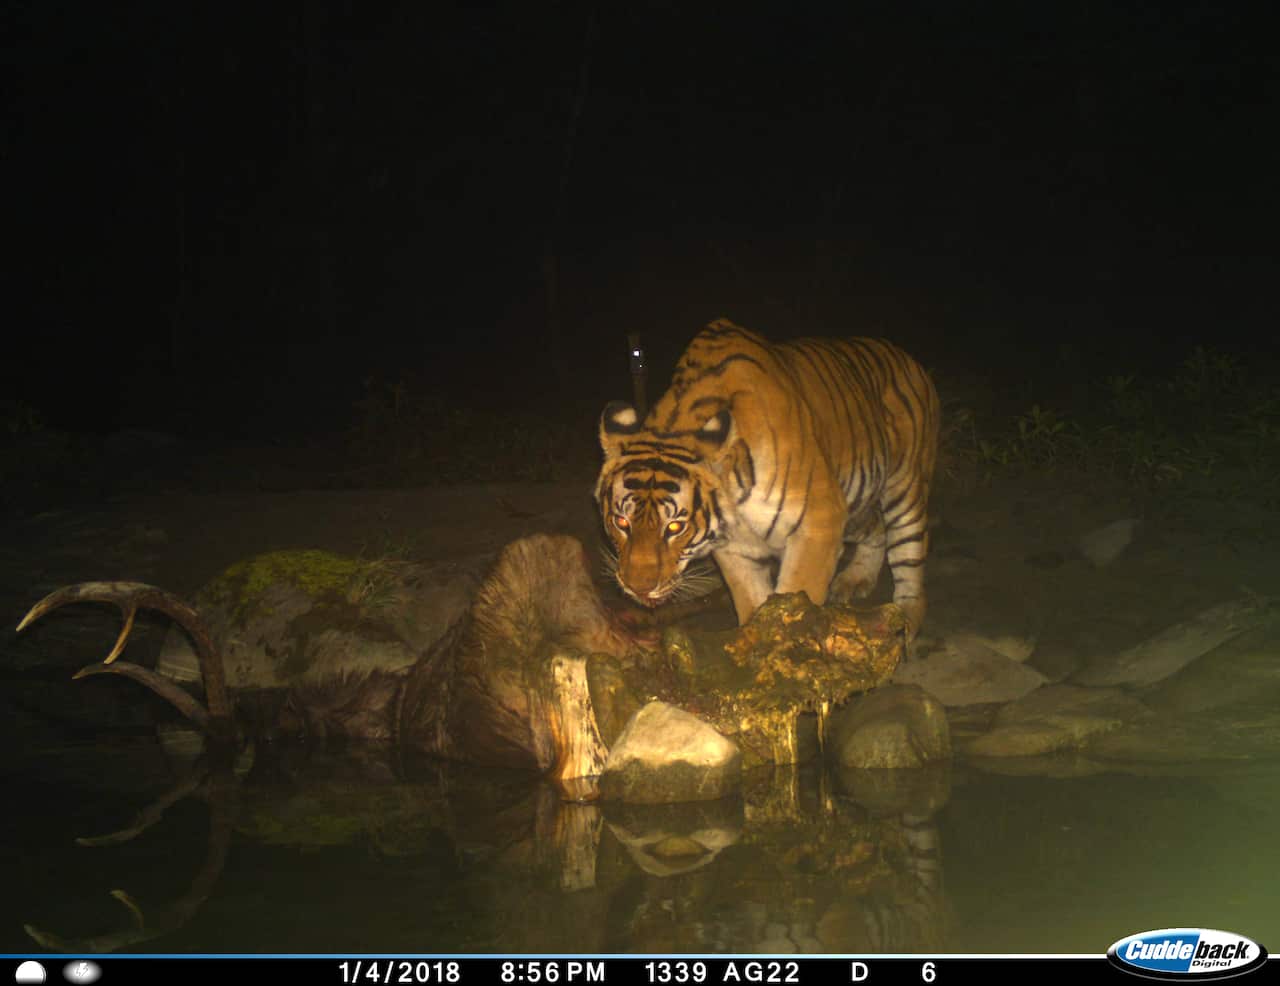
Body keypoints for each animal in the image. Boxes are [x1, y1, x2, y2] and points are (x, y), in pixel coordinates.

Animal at [595, 318, 940, 640]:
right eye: (621, 522)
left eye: (675, 528)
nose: (638, 588)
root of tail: (905, 356)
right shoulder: (736, 547)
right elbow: (752, 603)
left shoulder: (819, 522)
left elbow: (796, 596)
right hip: (854, 503)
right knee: (877, 529)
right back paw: (856, 580)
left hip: (904, 490)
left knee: (909, 559)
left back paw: (904, 624)